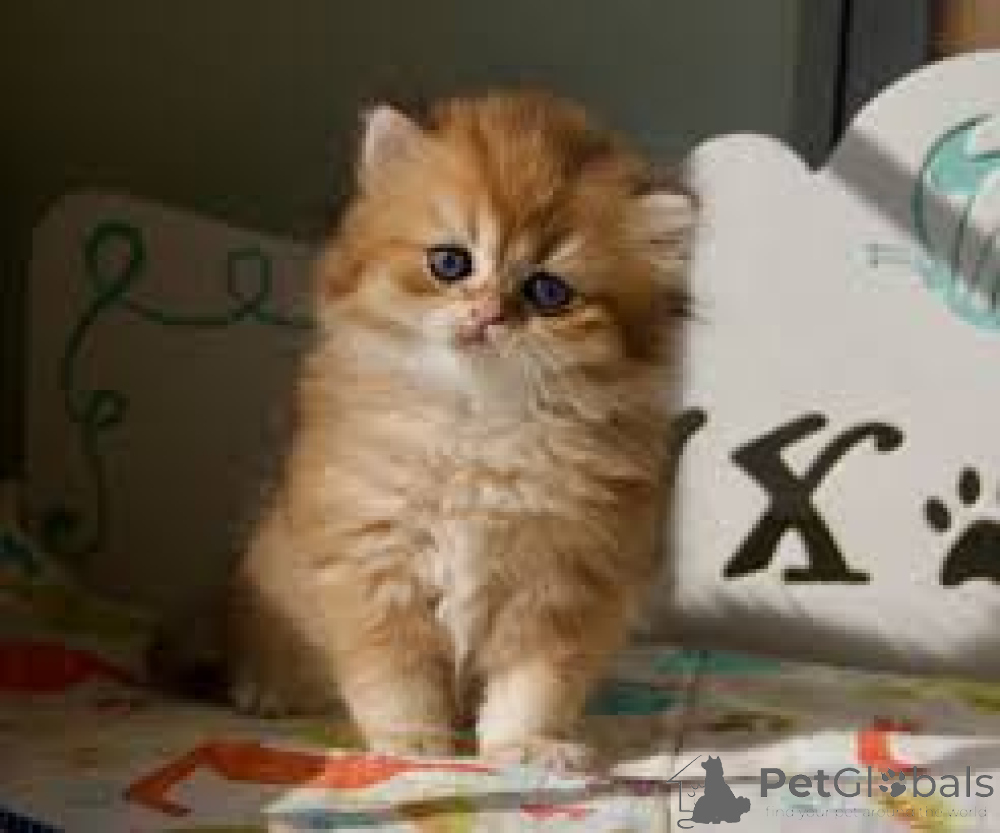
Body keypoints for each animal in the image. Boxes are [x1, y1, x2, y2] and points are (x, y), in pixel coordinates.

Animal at [223, 91, 694, 770]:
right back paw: (264, 690)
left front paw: (524, 746)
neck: (479, 424)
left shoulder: (562, 586)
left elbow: (533, 686)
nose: (487, 314)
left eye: (548, 291)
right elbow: (397, 679)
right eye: (450, 263)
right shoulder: (373, 564)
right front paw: (413, 742)